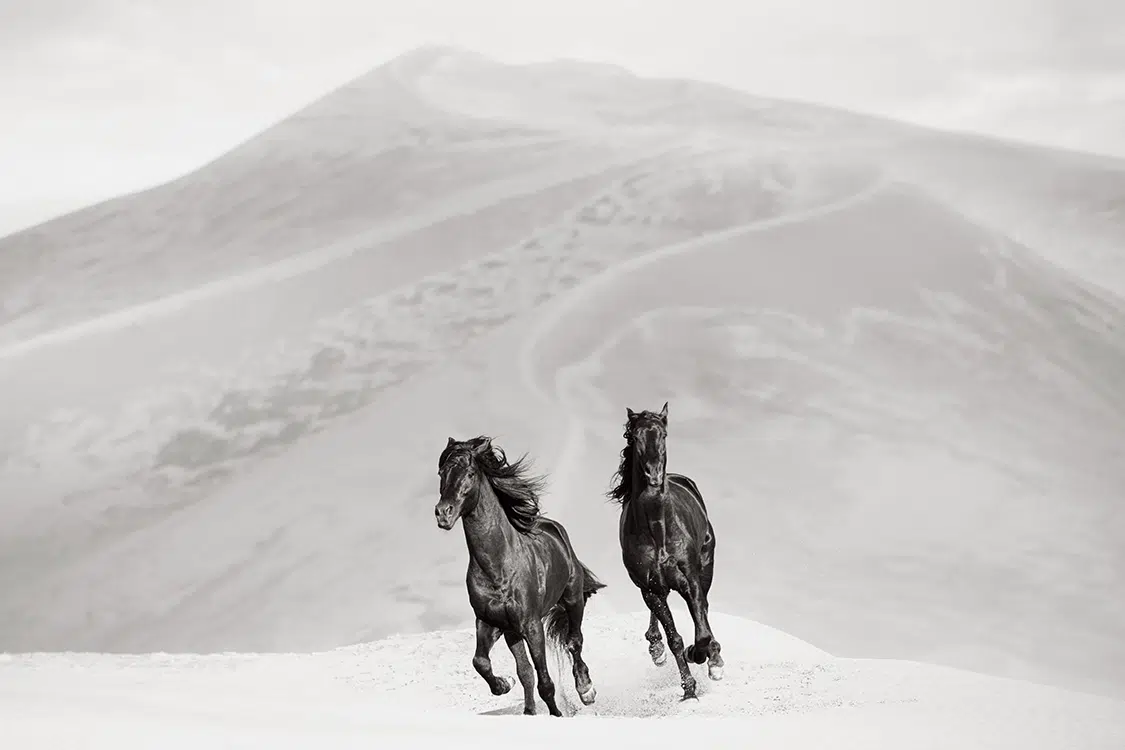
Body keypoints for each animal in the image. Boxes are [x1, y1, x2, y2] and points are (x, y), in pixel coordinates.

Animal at [435, 435, 606, 717]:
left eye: (470, 473)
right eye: (441, 473)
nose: (443, 513)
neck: (499, 568)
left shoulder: (531, 625)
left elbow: (545, 681)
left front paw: (557, 713)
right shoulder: (490, 622)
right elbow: (483, 662)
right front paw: (505, 684)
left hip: (572, 599)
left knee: (574, 641)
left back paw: (586, 690)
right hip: (512, 632)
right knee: (526, 669)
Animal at [607, 402, 724, 701]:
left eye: (663, 434)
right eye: (635, 437)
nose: (653, 475)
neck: (658, 528)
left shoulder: (690, 580)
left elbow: (701, 632)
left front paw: (703, 656)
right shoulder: (650, 587)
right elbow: (675, 639)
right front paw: (689, 689)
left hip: (706, 566)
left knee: (705, 609)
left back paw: (715, 658)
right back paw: (656, 648)